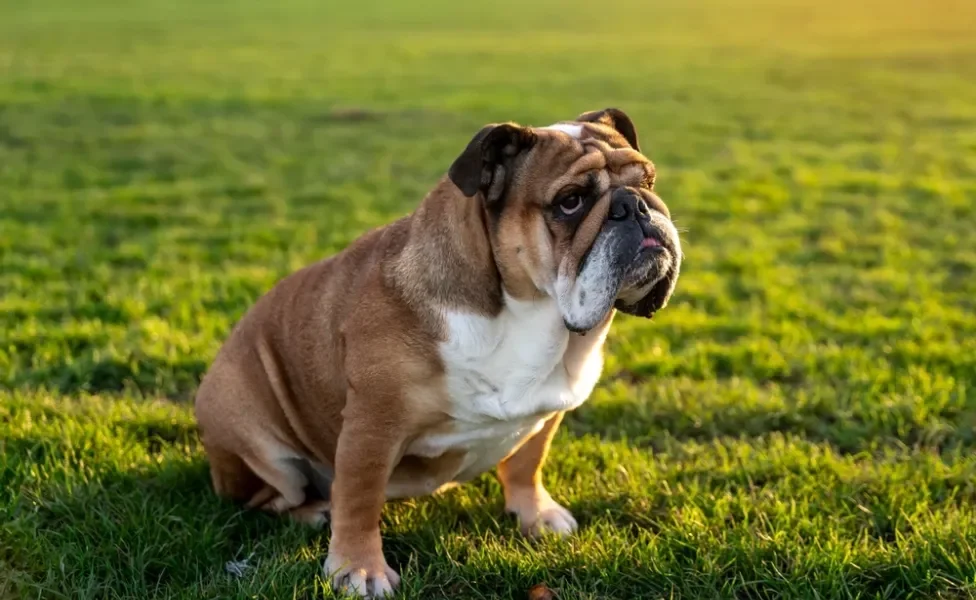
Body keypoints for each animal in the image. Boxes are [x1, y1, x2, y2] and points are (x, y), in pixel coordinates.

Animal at [194, 108, 684, 596]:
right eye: (571, 201)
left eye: (649, 180)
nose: (636, 204)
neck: (529, 315)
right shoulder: (372, 425)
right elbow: (358, 497)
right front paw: (359, 569)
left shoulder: (547, 412)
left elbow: (528, 464)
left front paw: (537, 515)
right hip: (252, 434)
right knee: (267, 497)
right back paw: (314, 510)